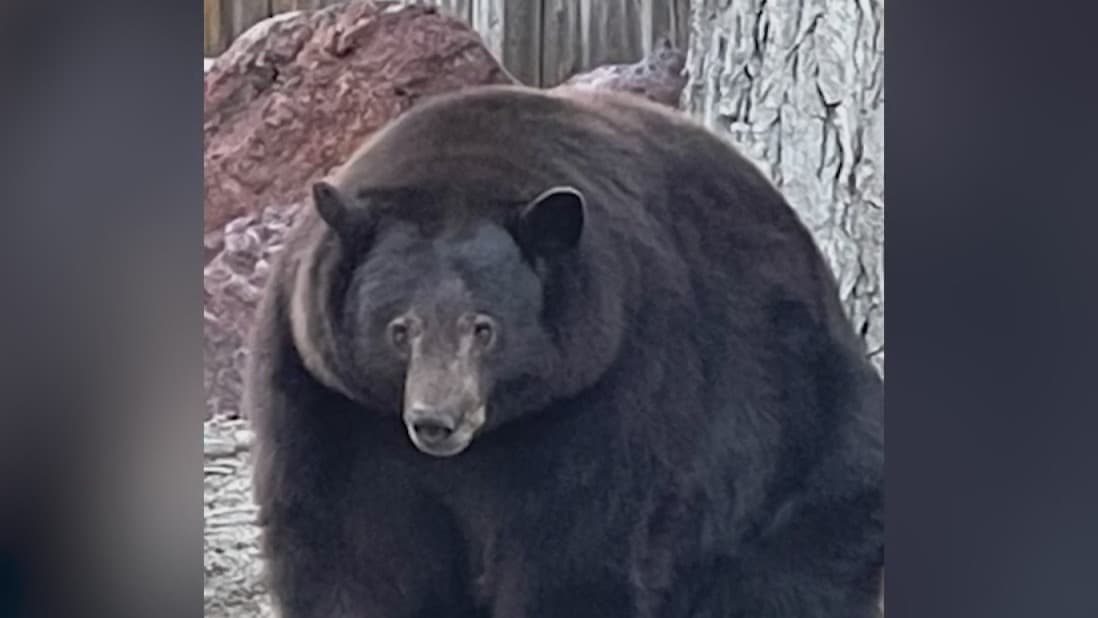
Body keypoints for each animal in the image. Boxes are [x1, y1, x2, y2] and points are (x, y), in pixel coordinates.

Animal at [244, 84, 884, 618]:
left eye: (485, 328)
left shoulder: (611, 382)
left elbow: (576, 546)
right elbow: (350, 547)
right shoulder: (329, 399)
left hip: (798, 446)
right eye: (400, 329)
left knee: (788, 573)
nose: (436, 421)